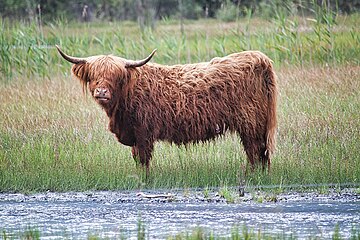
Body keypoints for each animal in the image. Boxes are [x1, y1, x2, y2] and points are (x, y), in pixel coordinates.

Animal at [56, 45, 278, 176]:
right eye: (93, 75)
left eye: (115, 76)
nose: (101, 92)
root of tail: (259, 58)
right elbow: (136, 158)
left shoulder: (143, 133)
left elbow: (143, 159)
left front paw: (144, 180)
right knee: (261, 152)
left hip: (250, 122)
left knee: (254, 151)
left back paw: (252, 176)